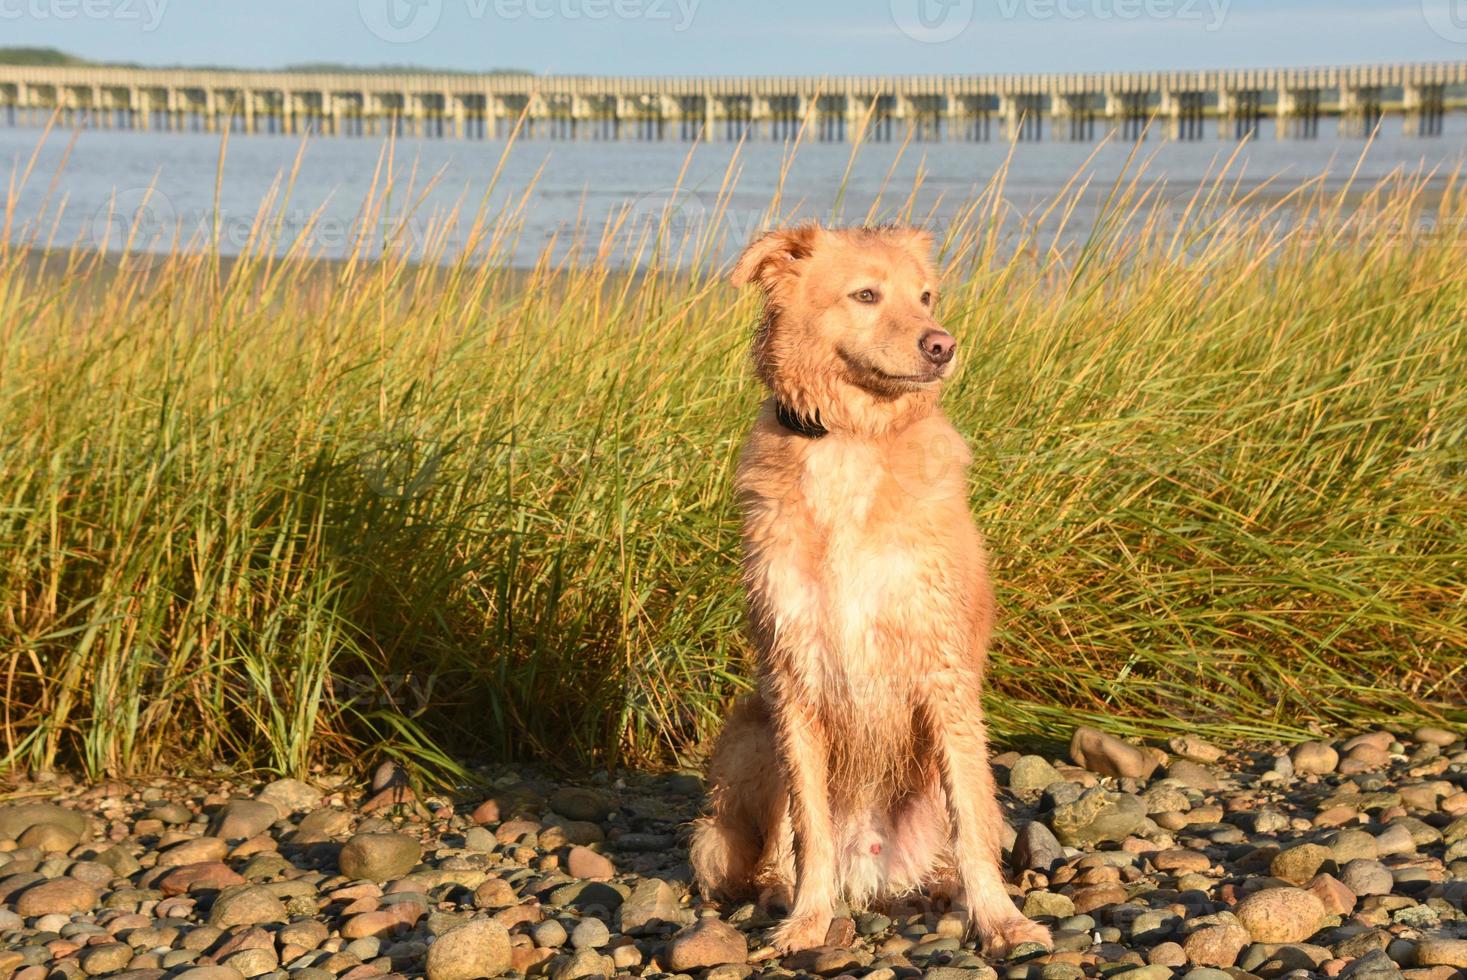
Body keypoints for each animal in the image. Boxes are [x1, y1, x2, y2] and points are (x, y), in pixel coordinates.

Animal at [689, 224, 1050, 956]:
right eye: (865, 295)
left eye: (926, 296)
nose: (942, 345)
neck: (852, 439)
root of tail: (873, 869)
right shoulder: (792, 675)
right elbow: (810, 827)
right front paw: (806, 922)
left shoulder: (944, 672)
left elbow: (972, 821)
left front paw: (1000, 922)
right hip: (747, 744)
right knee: (774, 848)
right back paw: (781, 893)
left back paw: (941, 887)